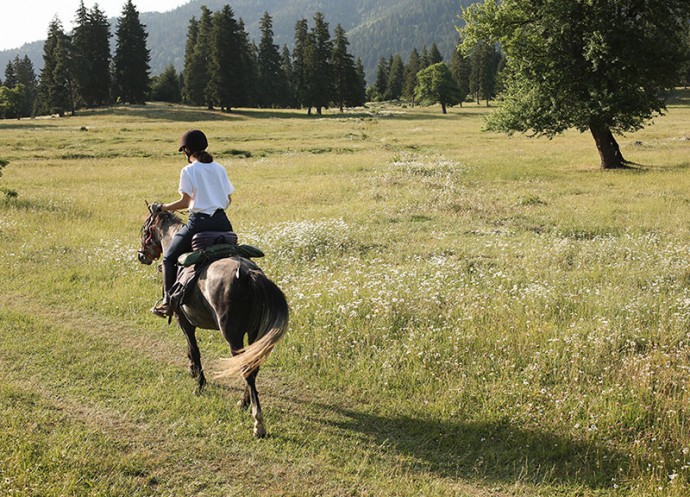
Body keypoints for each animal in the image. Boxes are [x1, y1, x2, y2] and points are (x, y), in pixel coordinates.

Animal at [137, 207, 288, 436]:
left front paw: (199, 384)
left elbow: (194, 349)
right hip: (254, 334)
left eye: (145, 228)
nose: (141, 255)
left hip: (233, 336)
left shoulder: (184, 321)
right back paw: (244, 403)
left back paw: (258, 423)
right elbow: (190, 349)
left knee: (246, 370)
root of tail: (250, 274)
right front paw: (192, 371)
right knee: (252, 366)